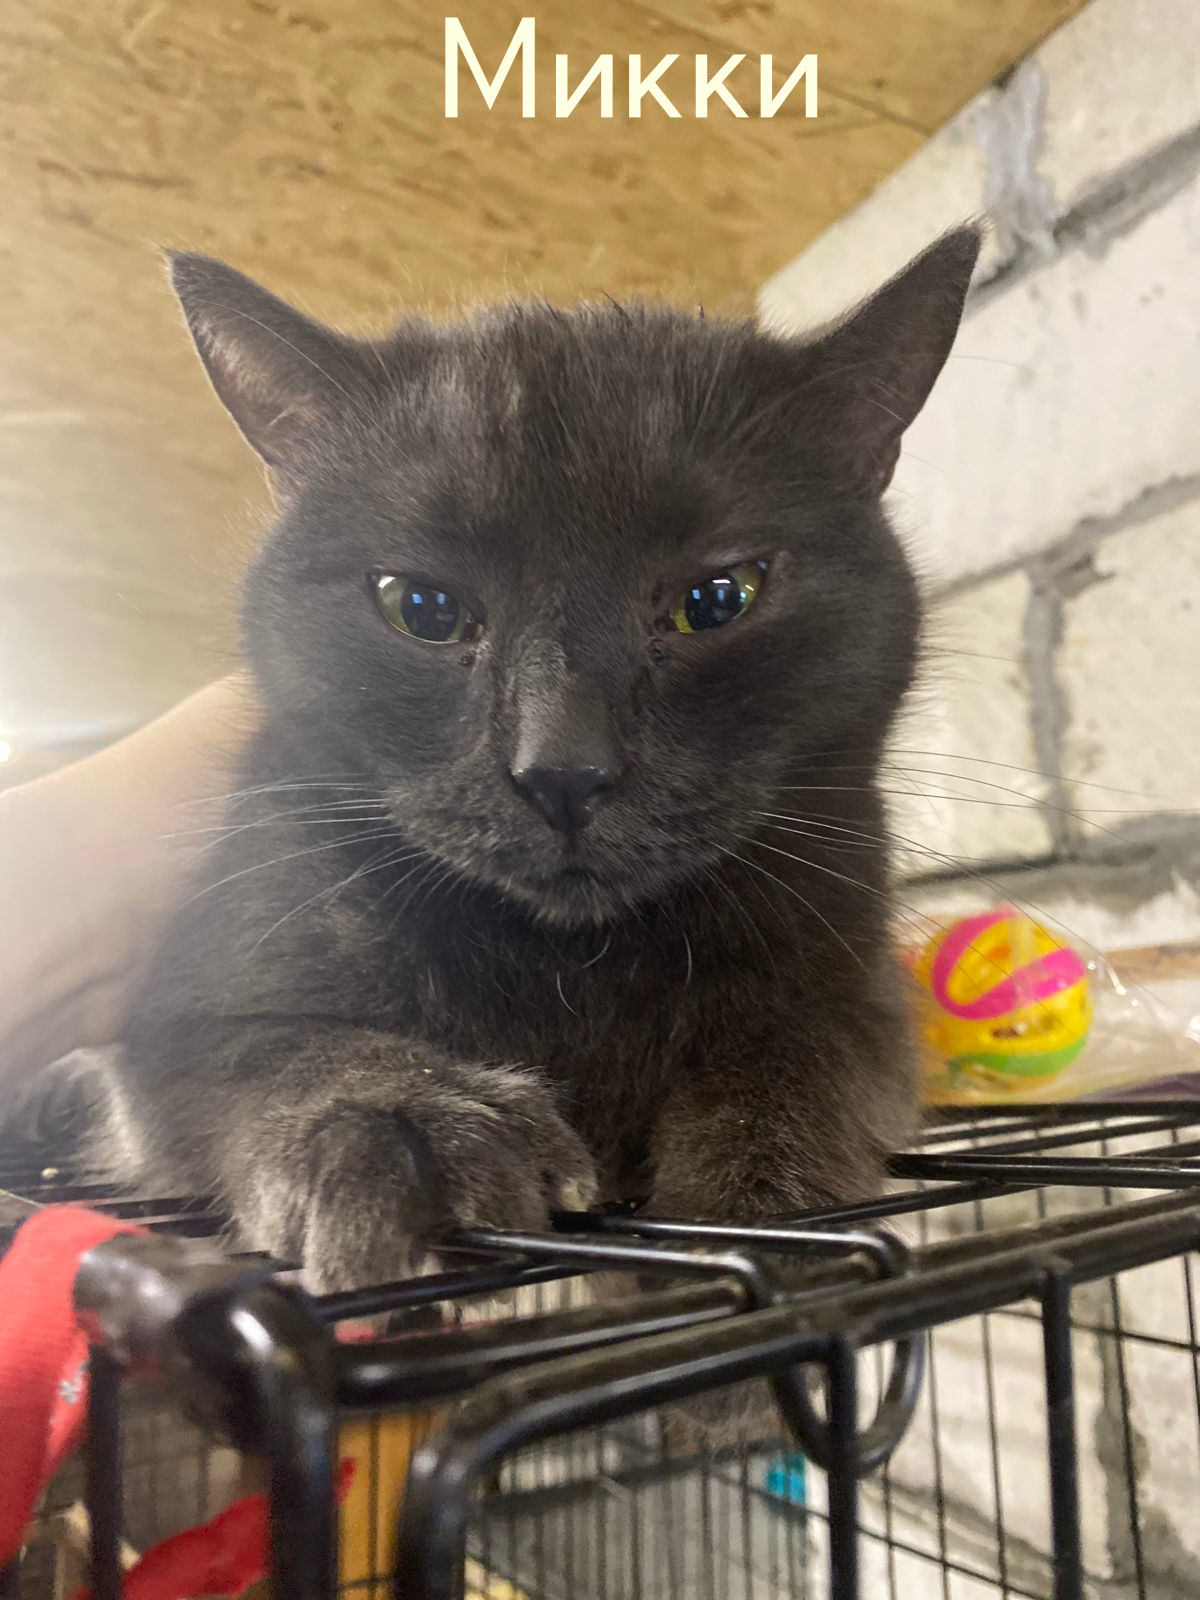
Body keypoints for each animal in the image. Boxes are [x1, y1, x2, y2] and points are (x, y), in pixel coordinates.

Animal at [99, 226, 979, 1293]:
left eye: (718, 597)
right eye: (421, 608)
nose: (563, 770)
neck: (573, 967)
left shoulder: (854, 981)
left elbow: (794, 1063)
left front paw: (752, 1228)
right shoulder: (176, 1014)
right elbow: (272, 1053)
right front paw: (404, 1125)